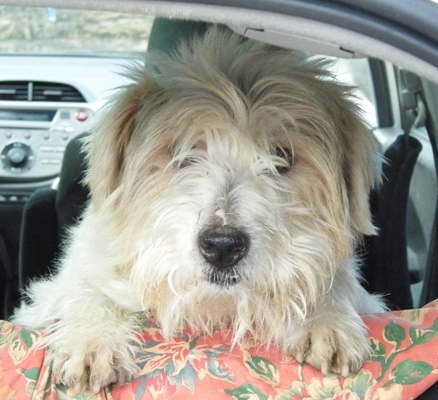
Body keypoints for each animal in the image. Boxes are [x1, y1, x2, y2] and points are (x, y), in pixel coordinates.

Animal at [12, 26, 385, 393]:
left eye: (283, 157)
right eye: (182, 152)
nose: (223, 246)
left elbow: (333, 281)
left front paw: (326, 317)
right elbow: (85, 288)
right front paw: (92, 336)